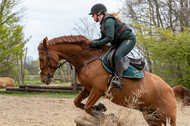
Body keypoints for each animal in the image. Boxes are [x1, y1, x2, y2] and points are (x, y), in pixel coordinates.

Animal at [38, 35, 177, 125]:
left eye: (41, 59)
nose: (44, 79)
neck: (87, 59)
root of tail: (170, 89)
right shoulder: (87, 89)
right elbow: (78, 103)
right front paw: (100, 107)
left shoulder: (98, 90)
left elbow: (87, 107)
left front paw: (110, 116)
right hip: (150, 114)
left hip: (168, 115)